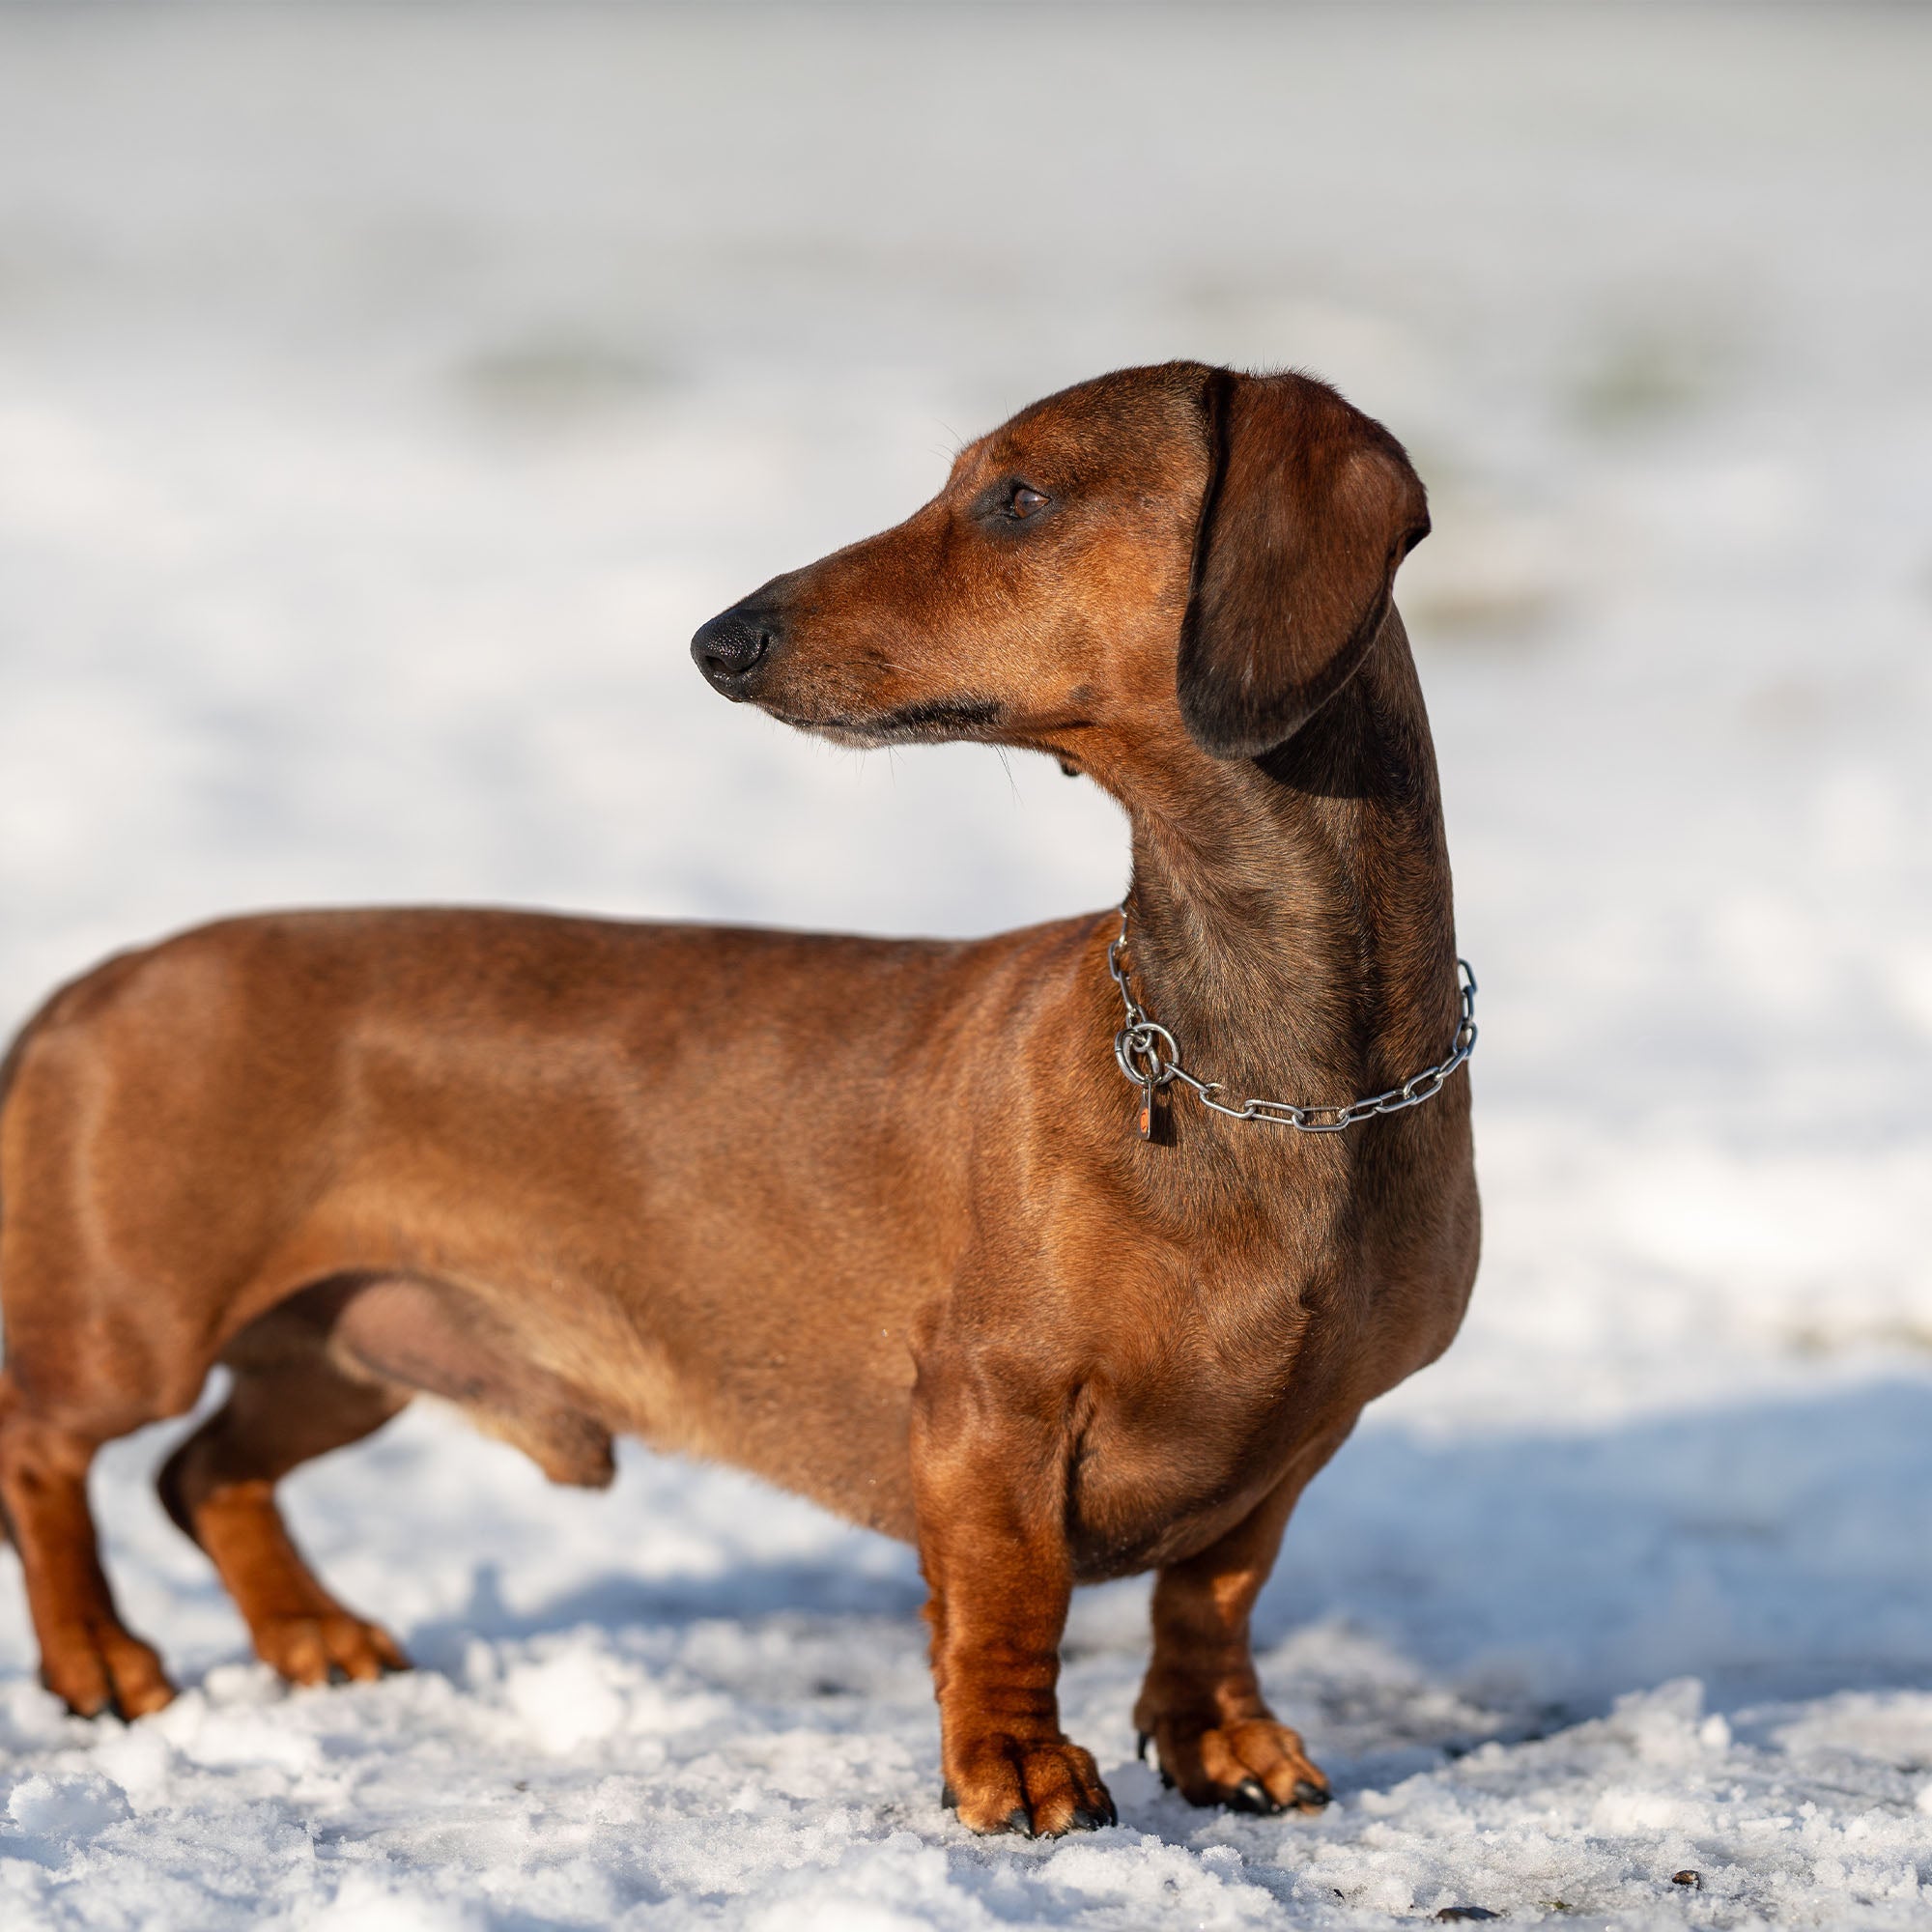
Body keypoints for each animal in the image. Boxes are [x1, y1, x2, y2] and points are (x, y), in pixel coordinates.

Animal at [0, 365, 1476, 1839]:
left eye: (1016, 496)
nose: (721, 641)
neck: (1257, 1076)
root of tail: (95, 981)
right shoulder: (988, 1410)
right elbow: (1011, 1602)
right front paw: (1016, 1766)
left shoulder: (1297, 1441)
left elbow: (1213, 1596)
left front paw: (1219, 1739)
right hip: (141, 1327)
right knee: (46, 1452)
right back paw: (100, 1660)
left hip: (344, 1349)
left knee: (204, 1473)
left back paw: (312, 1633)